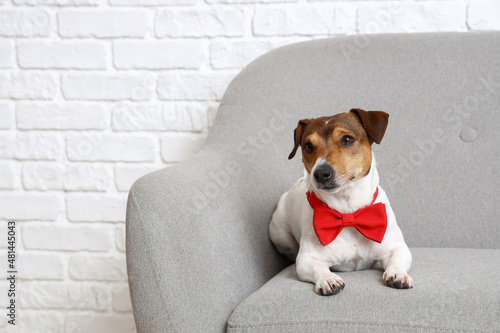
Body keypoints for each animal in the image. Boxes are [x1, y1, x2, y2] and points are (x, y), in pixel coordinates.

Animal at [270, 107, 414, 294]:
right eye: (308, 146)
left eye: (346, 139)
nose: (320, 173)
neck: (348, 211)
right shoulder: (306, 259)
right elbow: (317, 268)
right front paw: (328, 278)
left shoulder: (396, 248)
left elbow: (397, 258)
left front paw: (398, 274)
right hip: (280, 235)